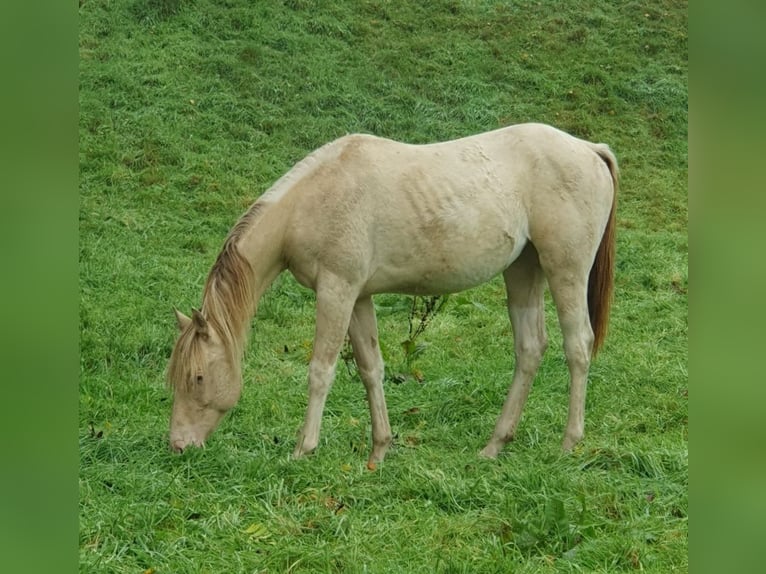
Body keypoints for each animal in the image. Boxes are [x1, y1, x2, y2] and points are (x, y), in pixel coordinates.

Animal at [167, 122, 618, 464]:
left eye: (198, 377)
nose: (178, 445)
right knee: (530, 349)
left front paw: (302, 450)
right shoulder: (358, 298)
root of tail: (589, 150)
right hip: (523, 271)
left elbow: (320, 371)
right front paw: (379, 451)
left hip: (565, 272)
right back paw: (494, 445)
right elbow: (371, 370)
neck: (311, 202)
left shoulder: (336, 291)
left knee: (578, 347)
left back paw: (568, 444)